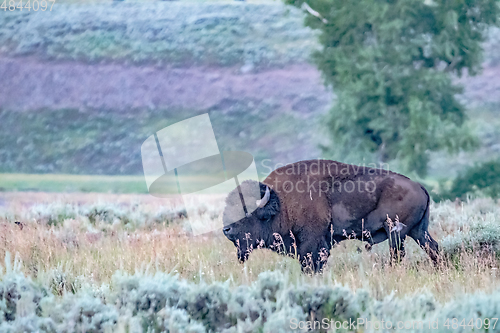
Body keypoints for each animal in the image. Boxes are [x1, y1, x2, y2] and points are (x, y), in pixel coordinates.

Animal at [223, 159, 438, 272]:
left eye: (246, 213)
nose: (226, 229)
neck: (281, 202)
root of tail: (420, 187)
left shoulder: (312, 243)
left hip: (396, 233)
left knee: (398, 255)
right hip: (418, 231)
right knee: (433, 248)